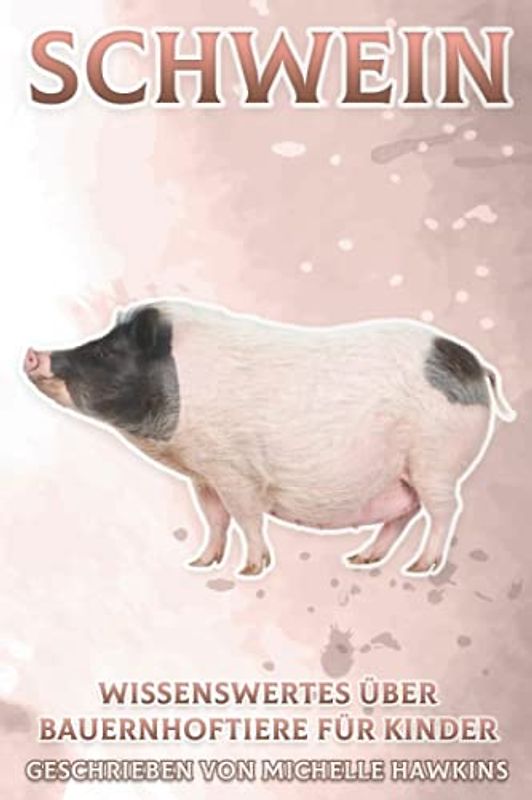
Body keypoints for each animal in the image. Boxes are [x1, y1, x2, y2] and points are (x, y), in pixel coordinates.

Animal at [23, 300, 515, 578]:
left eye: (106, 351)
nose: (32, 353)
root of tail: (476, 366)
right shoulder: (204, 475)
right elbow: (214, 520)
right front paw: (200, 563)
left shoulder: (233, 469)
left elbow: (245, 518)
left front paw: (250, 570)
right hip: (403, 475)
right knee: (402, 514)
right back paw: (362, 560)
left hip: (436, 461)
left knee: (444, 511)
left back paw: (420, 568)